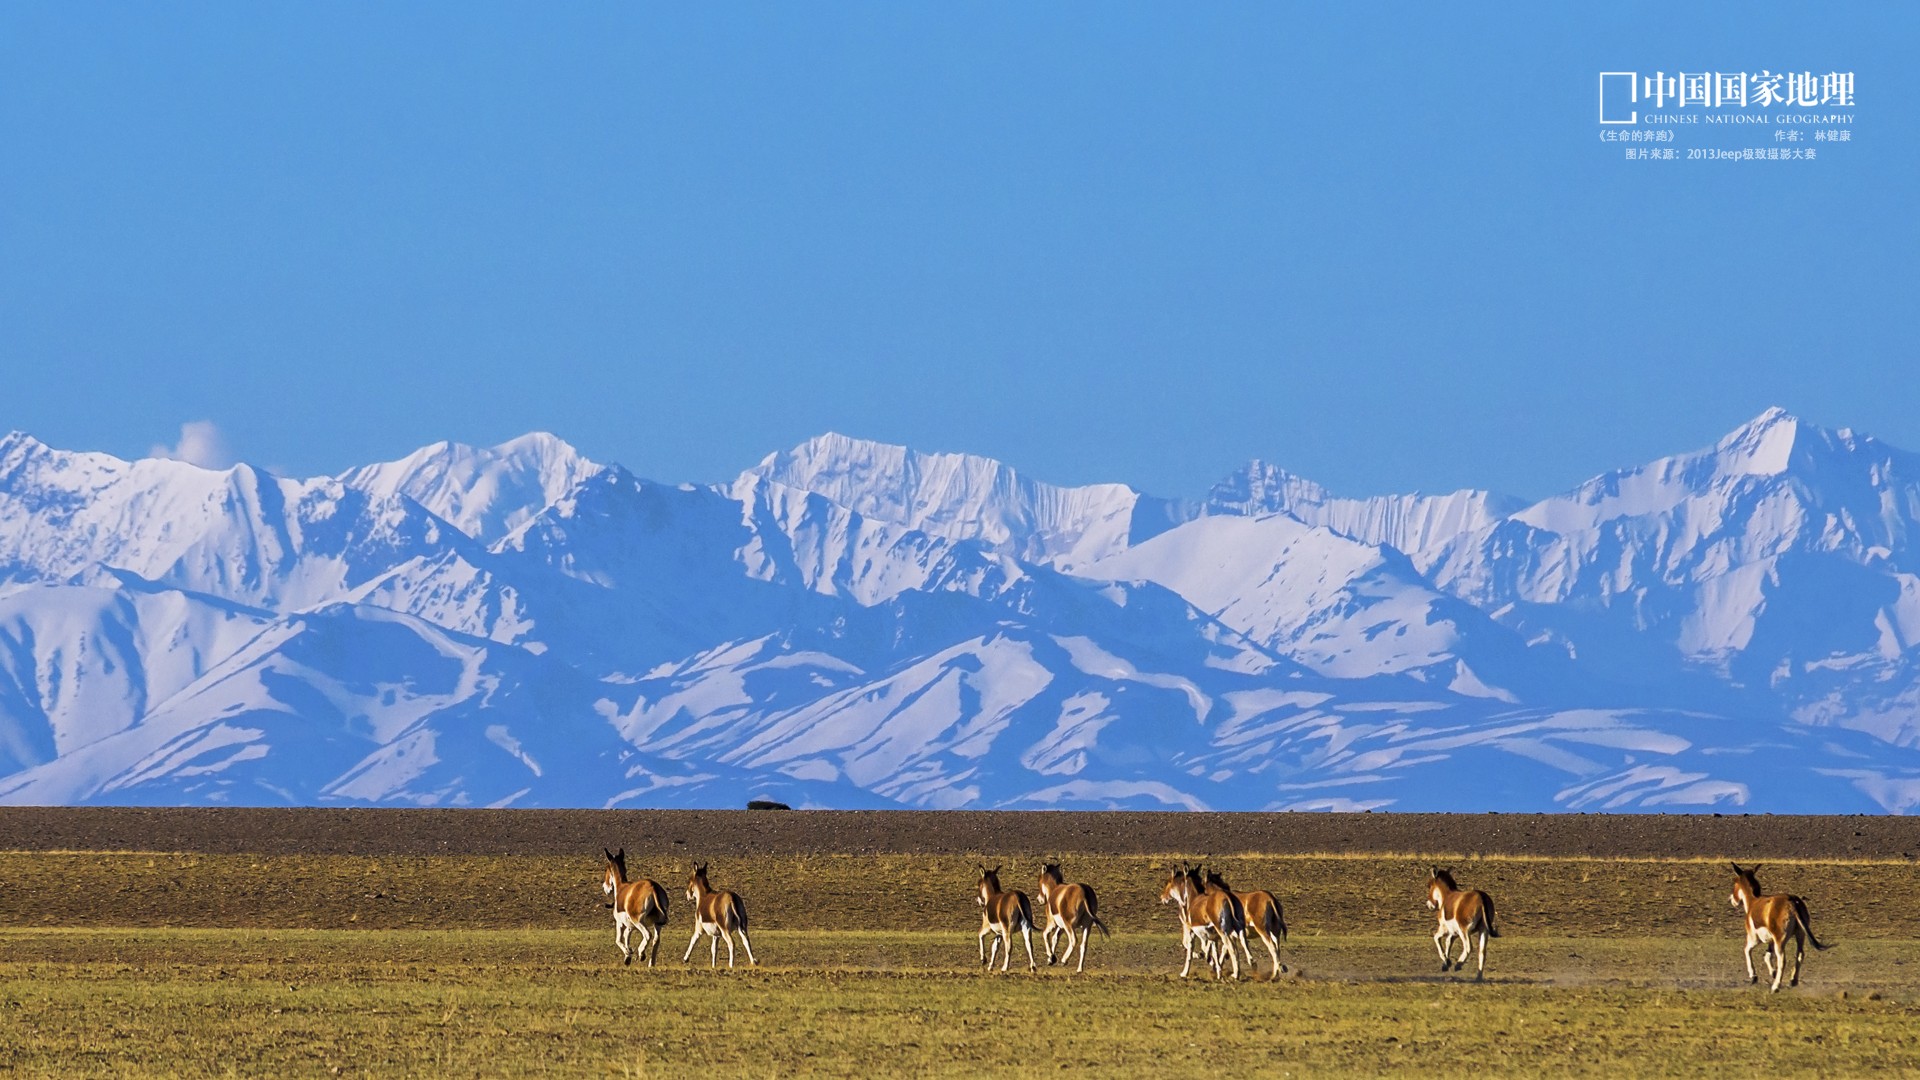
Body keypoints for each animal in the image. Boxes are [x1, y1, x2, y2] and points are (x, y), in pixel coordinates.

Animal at [1728, 860, 1827, 991]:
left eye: (1734, 882)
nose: (1732, 900)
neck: (1754, 902)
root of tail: (1792, 902)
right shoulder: (1771, 941)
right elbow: (1767, 956)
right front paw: (1773, 972)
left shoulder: (1754, 939)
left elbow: (1747, 950)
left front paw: (1753, 976)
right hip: (1800, 935)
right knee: (1800, 954)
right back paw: (1792, 981)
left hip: (1780, 941)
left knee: (1782, 960)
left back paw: (1775, 987)